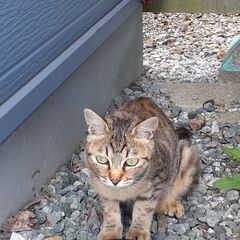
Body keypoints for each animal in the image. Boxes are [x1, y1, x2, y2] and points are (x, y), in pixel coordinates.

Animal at [83, 96, 200, 239]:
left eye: (131, 162)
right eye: (102, 160)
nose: (114, 181)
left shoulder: (157, 182)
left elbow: (143, 208)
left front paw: (137, 232)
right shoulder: (101, 185)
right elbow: (110, 209)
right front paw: (111, 232)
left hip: (186, 155)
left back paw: (171, 202)